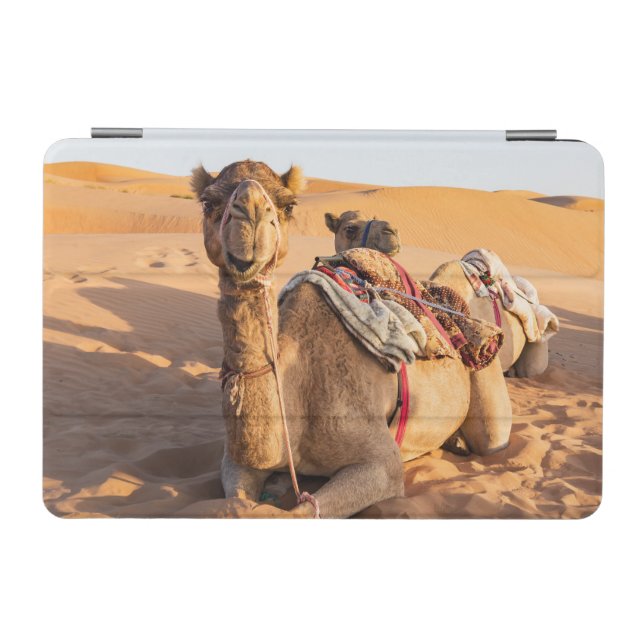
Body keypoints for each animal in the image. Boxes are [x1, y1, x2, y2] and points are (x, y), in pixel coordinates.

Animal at [192, 160, 512, 518]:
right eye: (208, 202)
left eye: (288, 205)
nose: (250, 215)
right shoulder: (235, 461)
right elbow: (237, 501)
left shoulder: (382, 464)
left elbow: (299, 512)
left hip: (487, 384)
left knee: (491, 438)